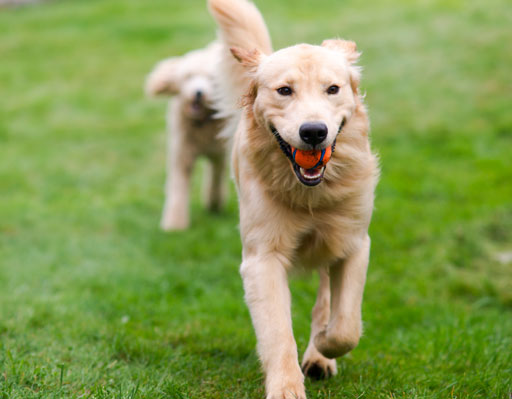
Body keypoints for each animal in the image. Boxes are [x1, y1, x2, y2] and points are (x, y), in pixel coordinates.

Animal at [146, 41, 226, 230]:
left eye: (211, 79)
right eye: (189, 77)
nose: (198, 93)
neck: (201, 123)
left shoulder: (218, 153)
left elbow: (216, 177)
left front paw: (214, 203)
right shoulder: (181, 154)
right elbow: (178, 187)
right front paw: (174, 225)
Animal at [208, 0, 380, 398]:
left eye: (332, 89)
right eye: (284, 90)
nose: (314, 132)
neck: (311, 194)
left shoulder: (353, 243)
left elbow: (346, 326)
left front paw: (324, 345)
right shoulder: (262, 259)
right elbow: (278, 334)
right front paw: (286, 386)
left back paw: (319, 354)